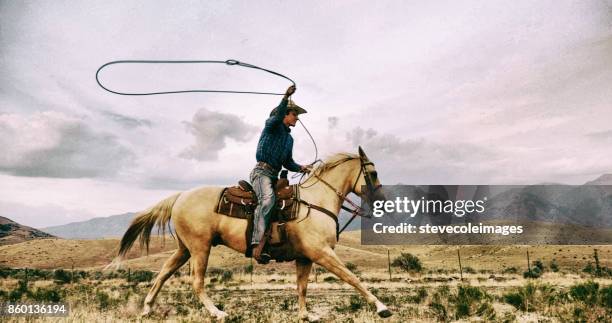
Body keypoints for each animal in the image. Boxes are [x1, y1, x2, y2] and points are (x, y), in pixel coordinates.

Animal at [111, 149, 392, 322]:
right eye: (374, 173)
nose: (382, 199)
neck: (316, 201)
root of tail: (180, 196)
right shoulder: (322, 253)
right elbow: (352, 278)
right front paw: (382, 308)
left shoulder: (305, 257)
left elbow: (302, 287)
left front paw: (305, 315)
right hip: (200, 248)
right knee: (196, 281)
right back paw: (217, 313)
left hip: (184, 249)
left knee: (163, 273)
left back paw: (147, 308)